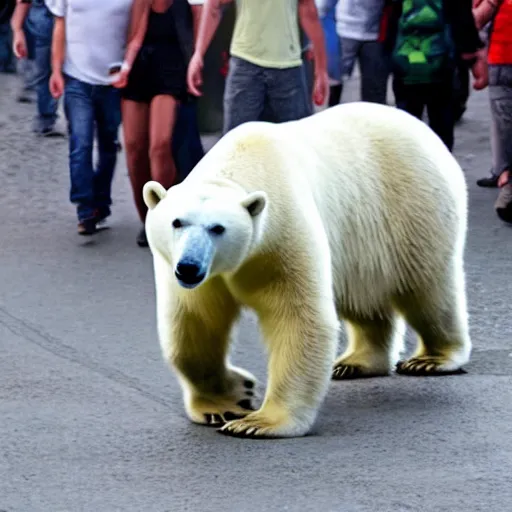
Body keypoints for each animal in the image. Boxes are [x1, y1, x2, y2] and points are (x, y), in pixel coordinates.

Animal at [142, 101, 470, 440]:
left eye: (218, 228)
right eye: (177, 222)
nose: (189, 267)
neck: (245, 162)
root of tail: (422, 129)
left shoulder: (282, 235)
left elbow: (299, 317)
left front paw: (258, 422)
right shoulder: (196, 272)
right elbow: (195, 322)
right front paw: (229, 402)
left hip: (412, 207)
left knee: (427, 288)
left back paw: (432, 359)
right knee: (363, 298)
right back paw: (357, 362)